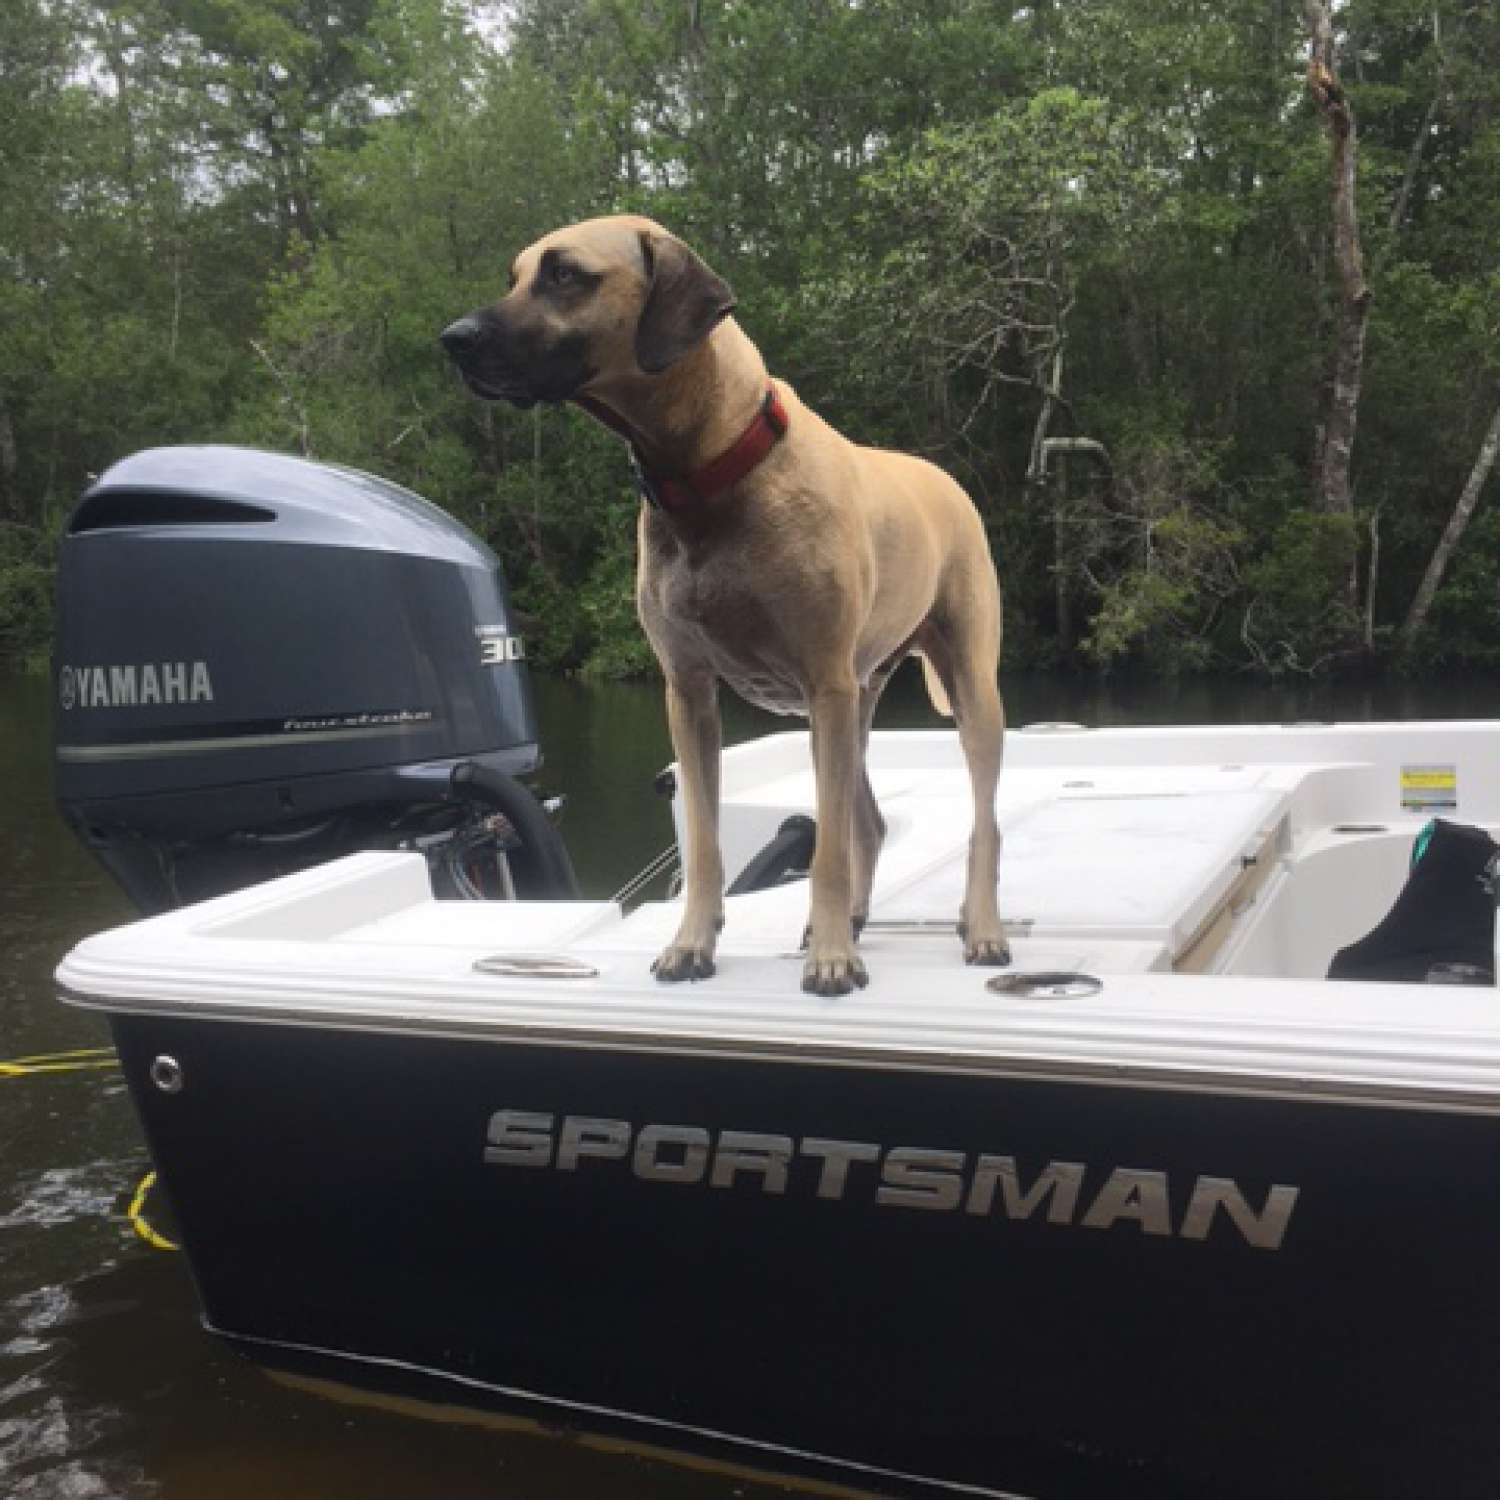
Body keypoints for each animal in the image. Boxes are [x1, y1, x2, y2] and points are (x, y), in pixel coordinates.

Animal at [441, 217, 1008, 996]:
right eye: (515, 275)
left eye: (564, 274)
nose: (453, 338)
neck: (707, 472)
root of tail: (945, 478)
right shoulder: (690, 693)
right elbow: (707, 842)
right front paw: (692, 944)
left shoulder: (822, 686)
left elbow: (824, 849)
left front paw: (833, 959)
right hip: (860, 704)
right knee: (867, 821)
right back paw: (856, 918)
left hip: (965, 688)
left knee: (980, 821)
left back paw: (979, 928)